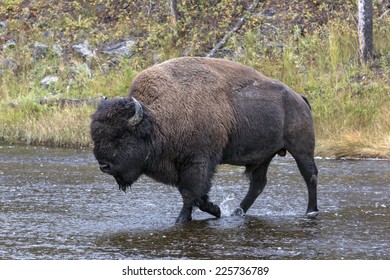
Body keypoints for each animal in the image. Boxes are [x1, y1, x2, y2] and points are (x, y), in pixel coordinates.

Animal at [92, 57, 320, 223]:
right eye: (96, 135)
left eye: (122, 136)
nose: (104, 166)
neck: (157, 119)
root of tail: (299, 98)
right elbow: (194, 195)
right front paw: (215, 211)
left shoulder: (199, 162)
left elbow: (191, 193)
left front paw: (188, 218)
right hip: (262, 157)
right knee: (258, 184)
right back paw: (237, 212)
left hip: (301, 149)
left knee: (310, 175)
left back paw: (311, 211)